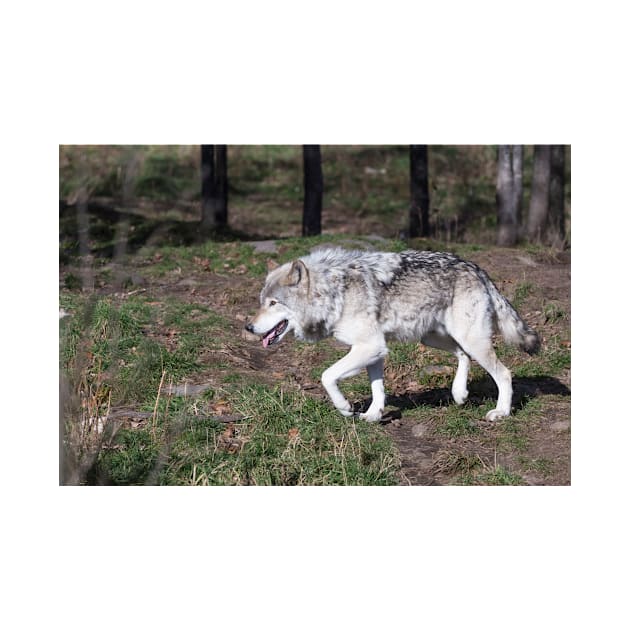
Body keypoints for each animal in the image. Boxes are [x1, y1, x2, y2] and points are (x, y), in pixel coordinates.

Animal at [244, 249, 540, 422]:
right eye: (261, 302)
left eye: (273, 303)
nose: (248, 327)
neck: (333, 292)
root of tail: (477, 268)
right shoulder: (376, 351)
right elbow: (377, 387)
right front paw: (373, 415)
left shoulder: (369, 346)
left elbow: (327, 376)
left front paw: (344, 408)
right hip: (433, 338)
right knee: (462, 356)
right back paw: (459, 394)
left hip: (471, 340)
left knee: (504, 373)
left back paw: (501, 411)